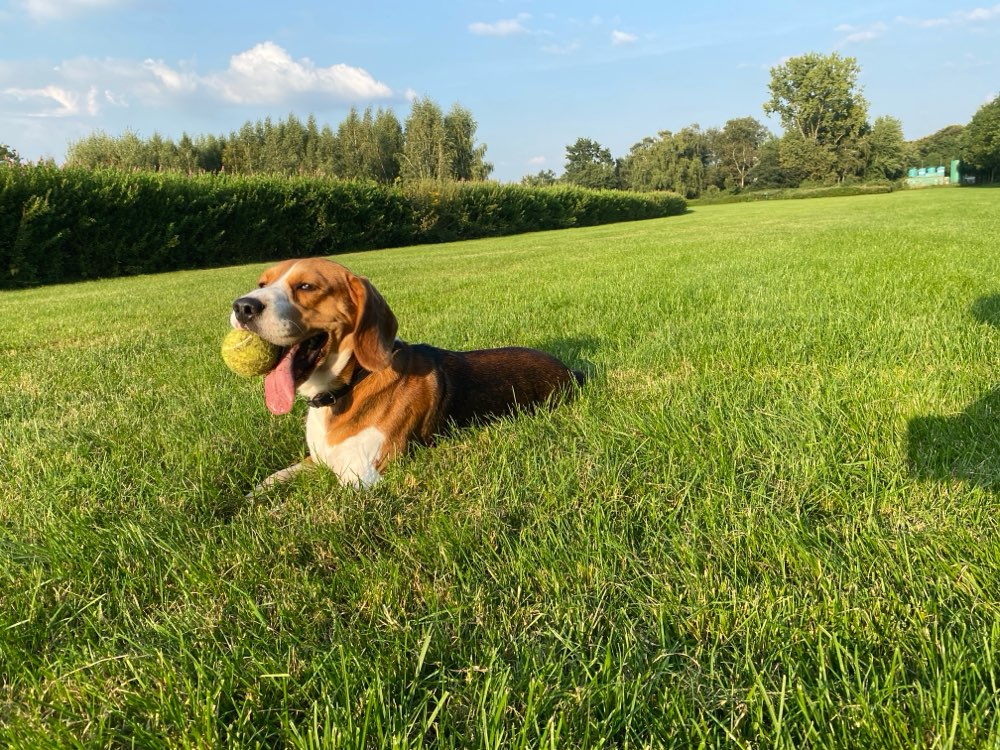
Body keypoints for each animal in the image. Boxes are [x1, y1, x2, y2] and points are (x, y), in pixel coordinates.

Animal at [229, 260, 584, 494]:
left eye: (306, 286)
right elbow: (269, 481)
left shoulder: (360, 479)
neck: (351, 381)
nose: (242, 306)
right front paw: (247, 501)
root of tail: (571, 370)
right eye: (262, 284)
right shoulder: (315, 460)